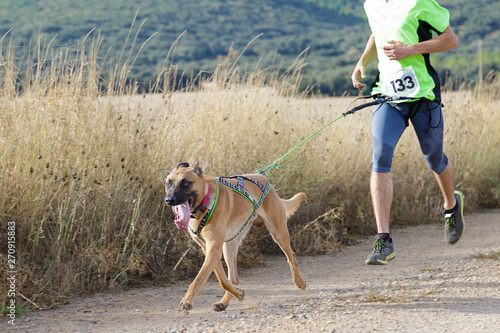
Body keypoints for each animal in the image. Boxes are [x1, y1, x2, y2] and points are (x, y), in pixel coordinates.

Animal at [165, 162, 304, 310]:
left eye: (185, 183)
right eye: (168, 183)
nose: (169, 200)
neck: (205, 203)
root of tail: (265, 179)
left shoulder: (214, 249)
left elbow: (200, 278)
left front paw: (187, 300)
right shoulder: (208, 249)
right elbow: (223, 280)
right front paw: (238, 293)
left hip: (278, 233)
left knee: (291, 257)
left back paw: (299, 281)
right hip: (229, 247)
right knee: (234, 278)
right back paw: (224, 301)